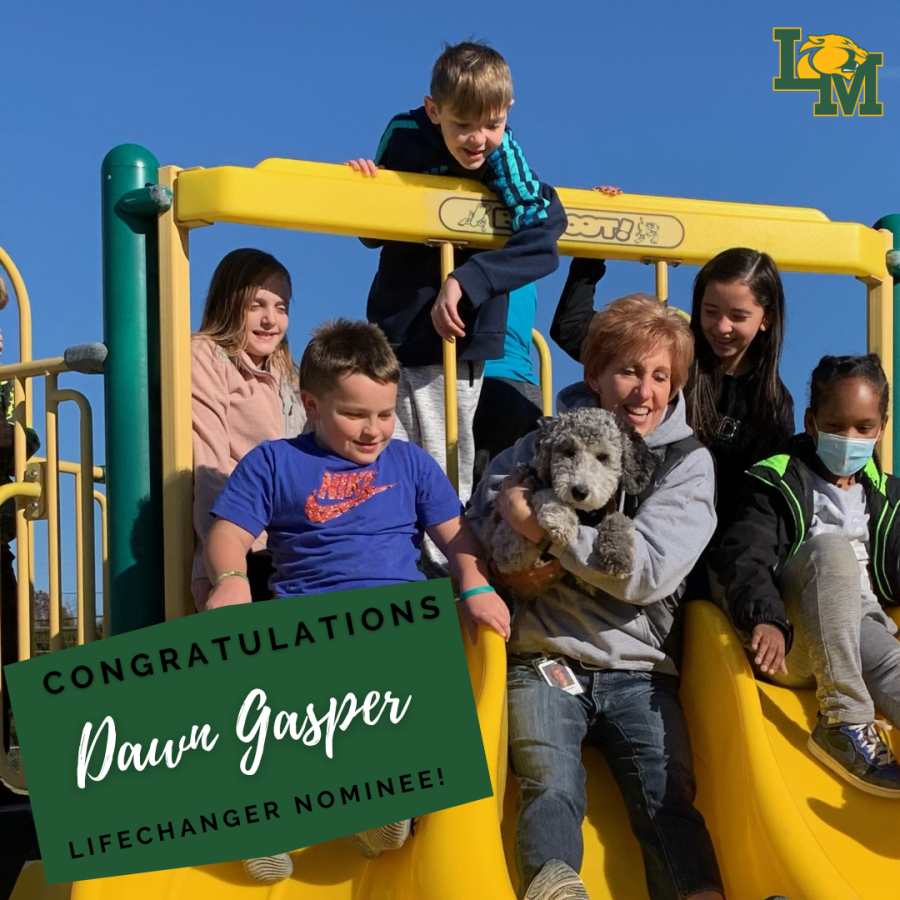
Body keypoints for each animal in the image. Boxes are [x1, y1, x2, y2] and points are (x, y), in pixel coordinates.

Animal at [482, 408, 656, 592]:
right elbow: (546, 494)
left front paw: (619, 554)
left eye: (602, 456)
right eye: (569, 451)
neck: (585, 512)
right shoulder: (509, 553)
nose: (579, 491)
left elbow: (620, 519)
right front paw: (561, 521)